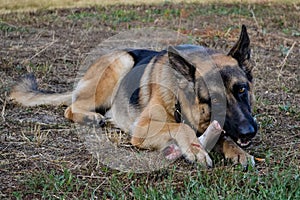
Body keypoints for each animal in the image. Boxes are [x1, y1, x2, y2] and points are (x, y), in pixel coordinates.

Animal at [9, 25, 258, 169]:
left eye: (242, 90)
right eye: (215, 100)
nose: (249, 132)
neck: (181, 99)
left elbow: (224, 137)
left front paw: (238, 152)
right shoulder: (143, 128)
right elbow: (180, 127)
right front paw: (195, 150)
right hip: (122, 62)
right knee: (70, 108)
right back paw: (92, 117)